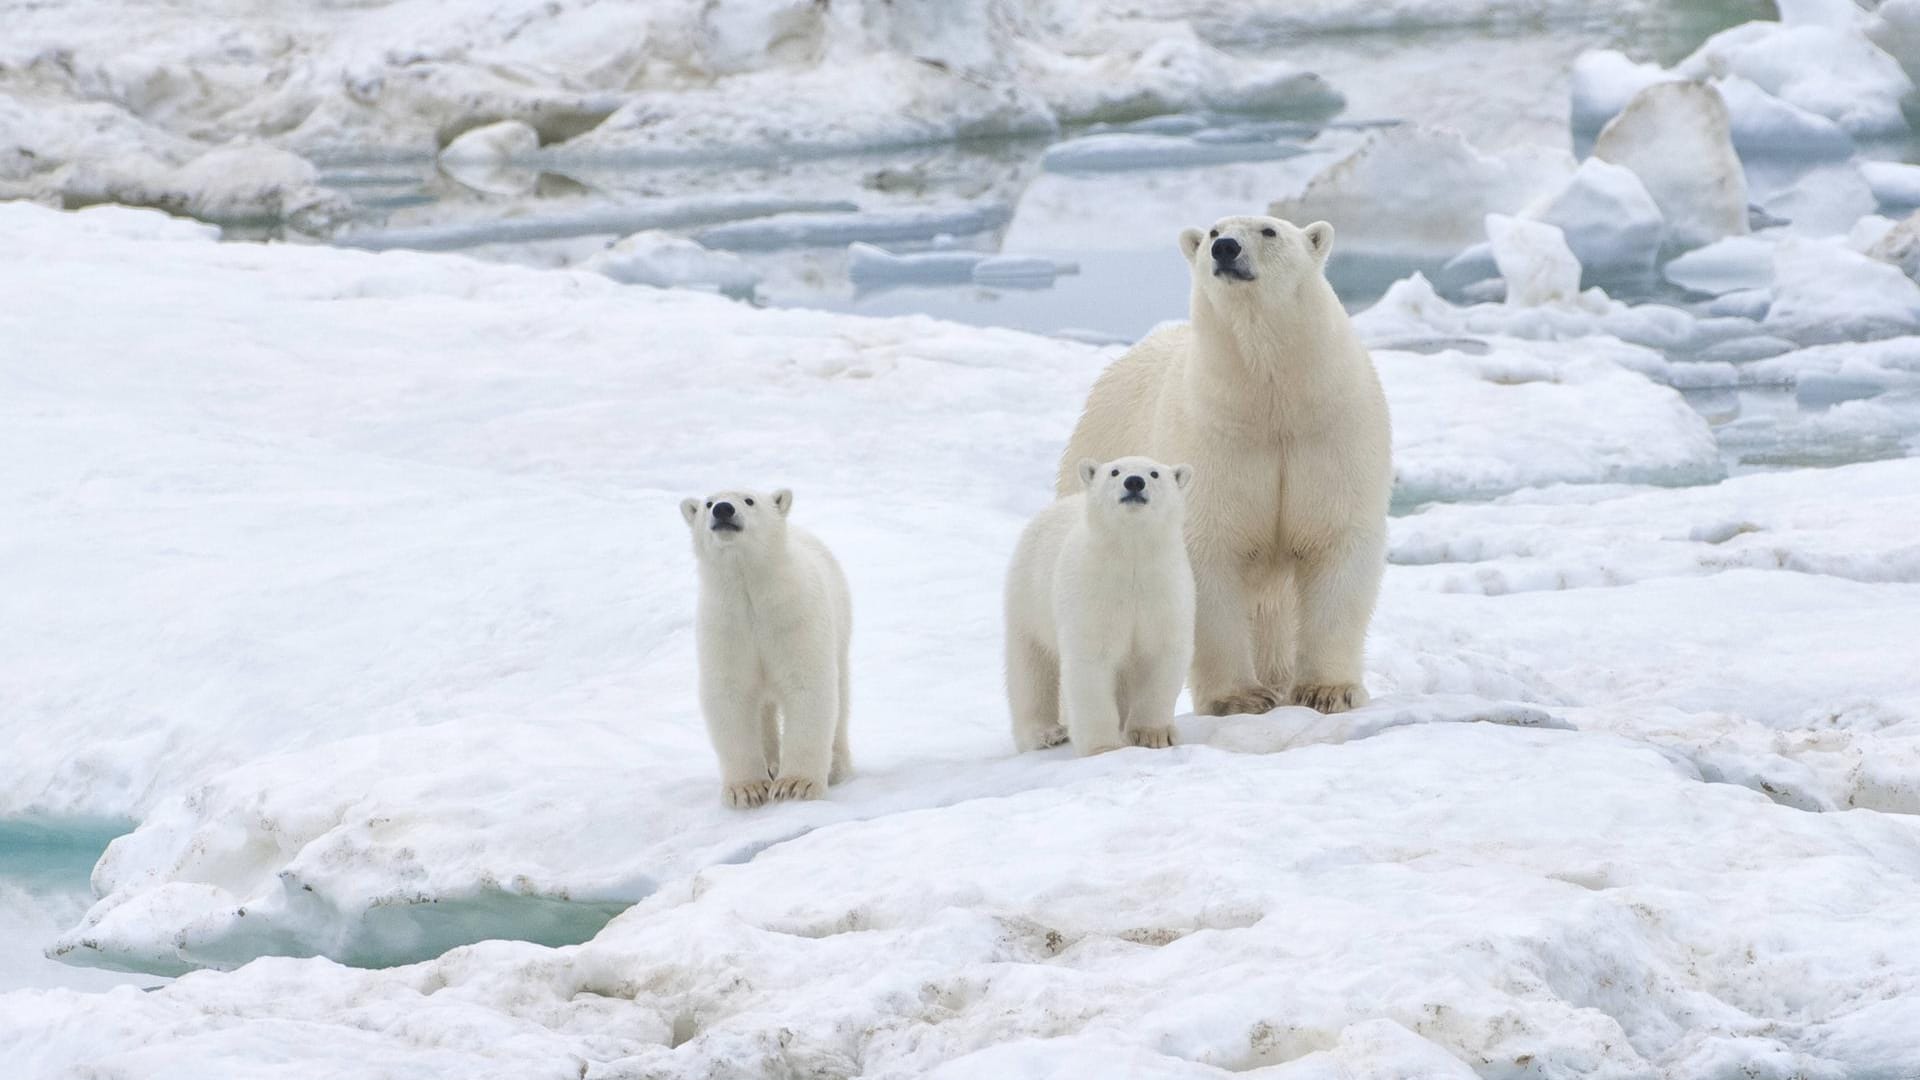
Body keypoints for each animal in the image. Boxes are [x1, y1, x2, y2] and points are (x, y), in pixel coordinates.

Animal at [1059, 212, 1390, 714]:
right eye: (1213, 232)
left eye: (1270, 230)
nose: (1226, 249)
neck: (1271, 402)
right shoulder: (1213, 439)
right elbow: (1209, 553)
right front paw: (1239, 698)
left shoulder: (1331, 432)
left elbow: (1336, 541)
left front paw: (1327, 690)